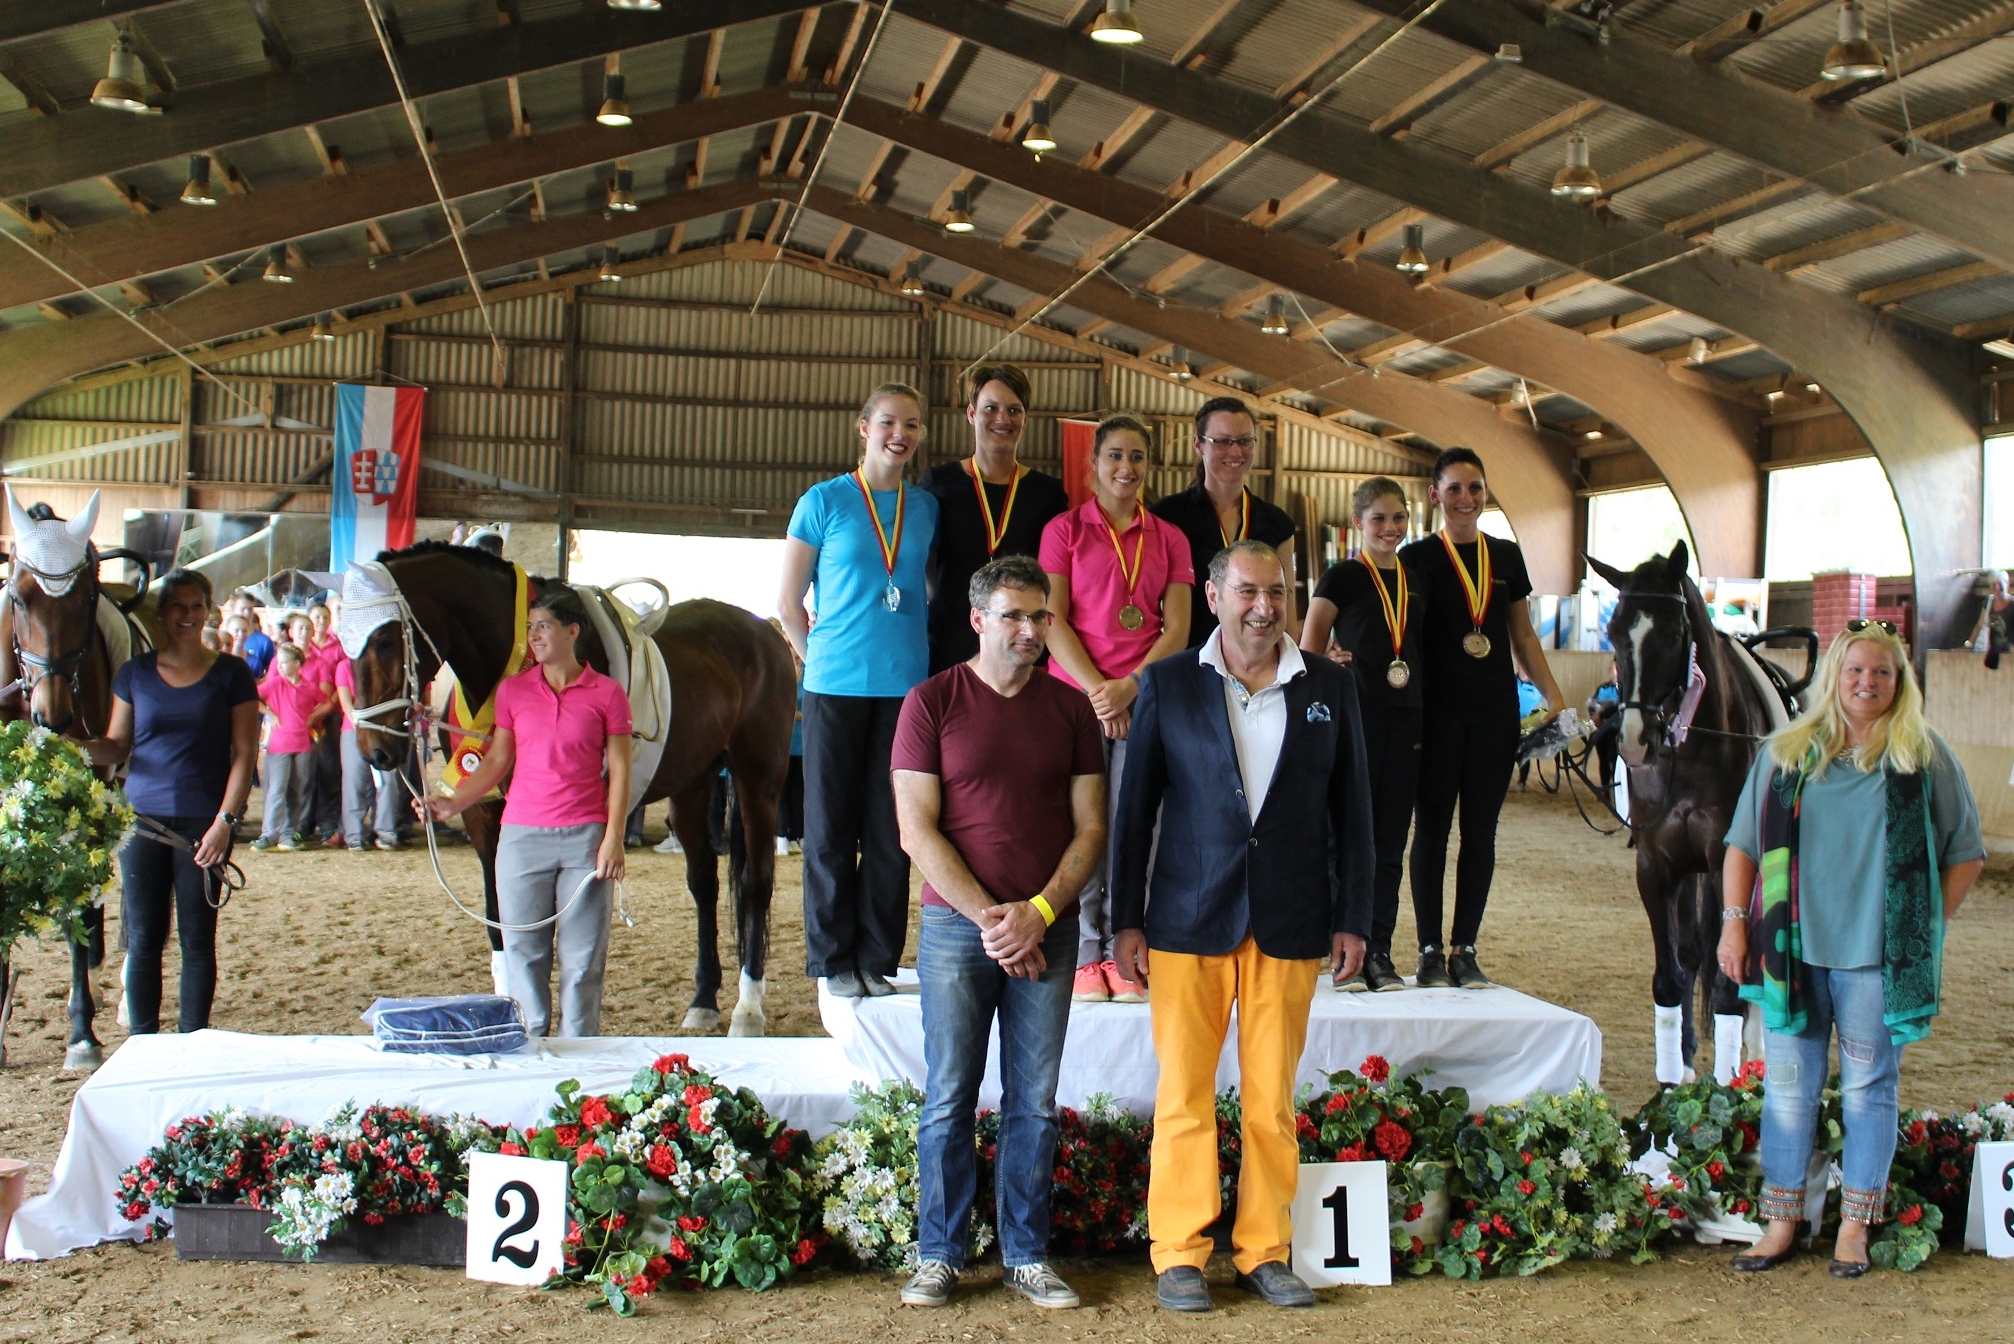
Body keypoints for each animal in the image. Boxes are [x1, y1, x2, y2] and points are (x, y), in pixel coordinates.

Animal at [346, 540, 793, 1039]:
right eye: (343, 640)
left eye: (385, 639)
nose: (375, 749)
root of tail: (765, 632)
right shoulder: (484, 813)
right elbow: (499, 912)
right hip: (693, 783)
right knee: (704, 883)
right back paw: (703, 1001)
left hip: (758, 778)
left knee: (755, 883)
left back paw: (747, 1009)